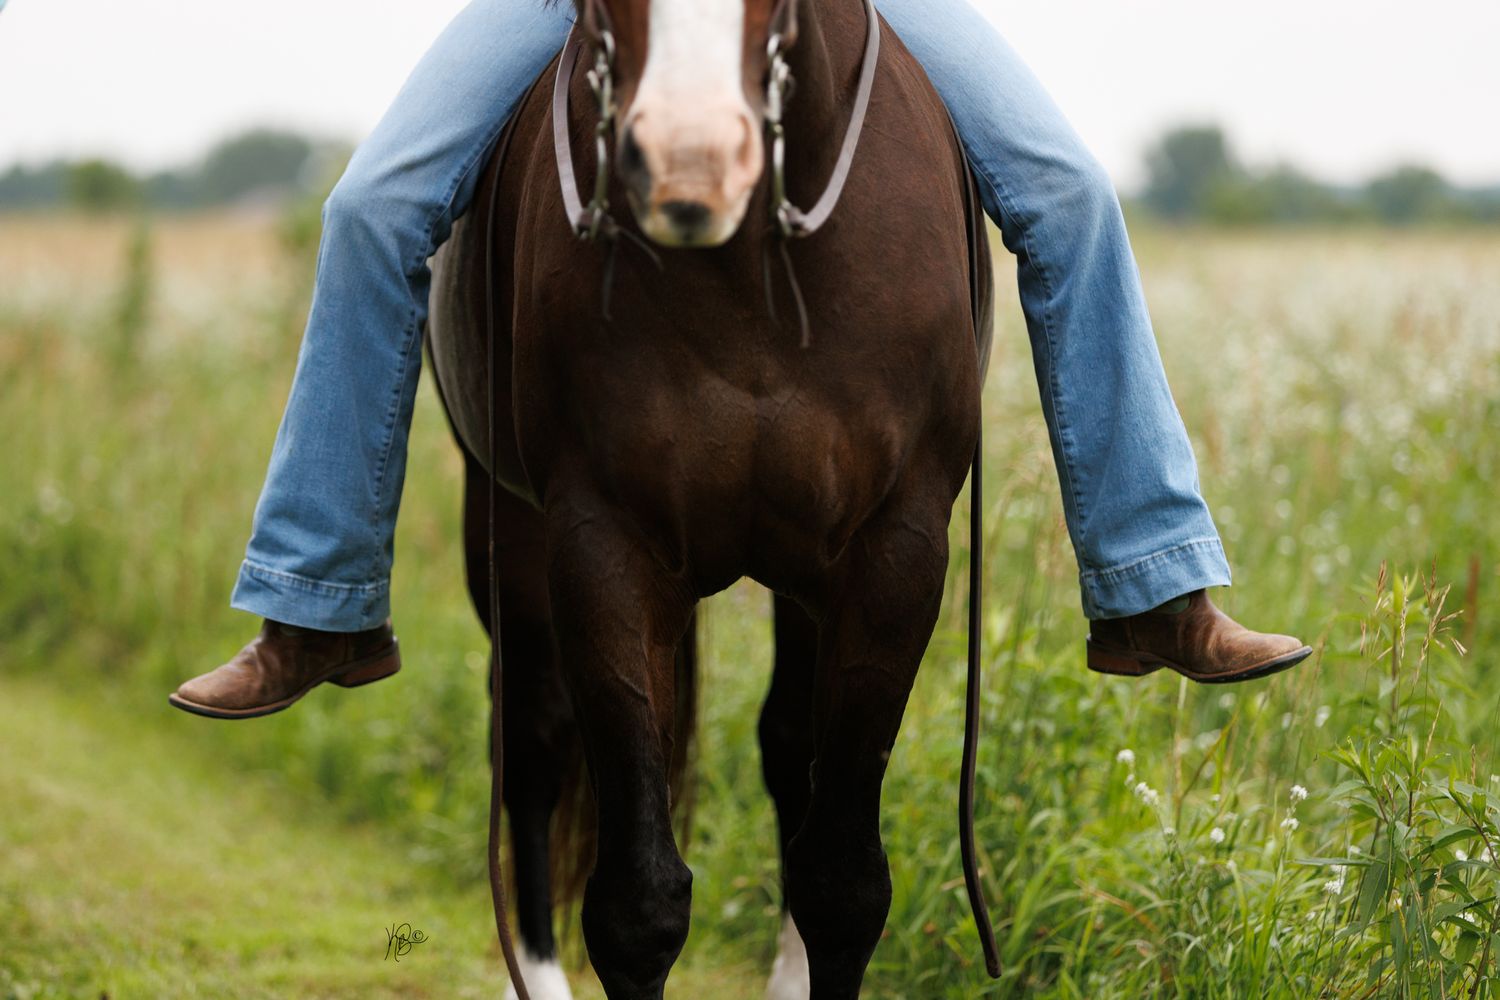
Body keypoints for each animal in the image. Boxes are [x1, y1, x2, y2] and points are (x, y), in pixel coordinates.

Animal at [426, 0, 996, 996]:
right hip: (505, 524)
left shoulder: (895, 553)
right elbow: (636, 906)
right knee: (531, 739)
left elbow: (844, 883)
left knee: (788, 748)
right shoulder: (601, 547)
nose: (688, 162)